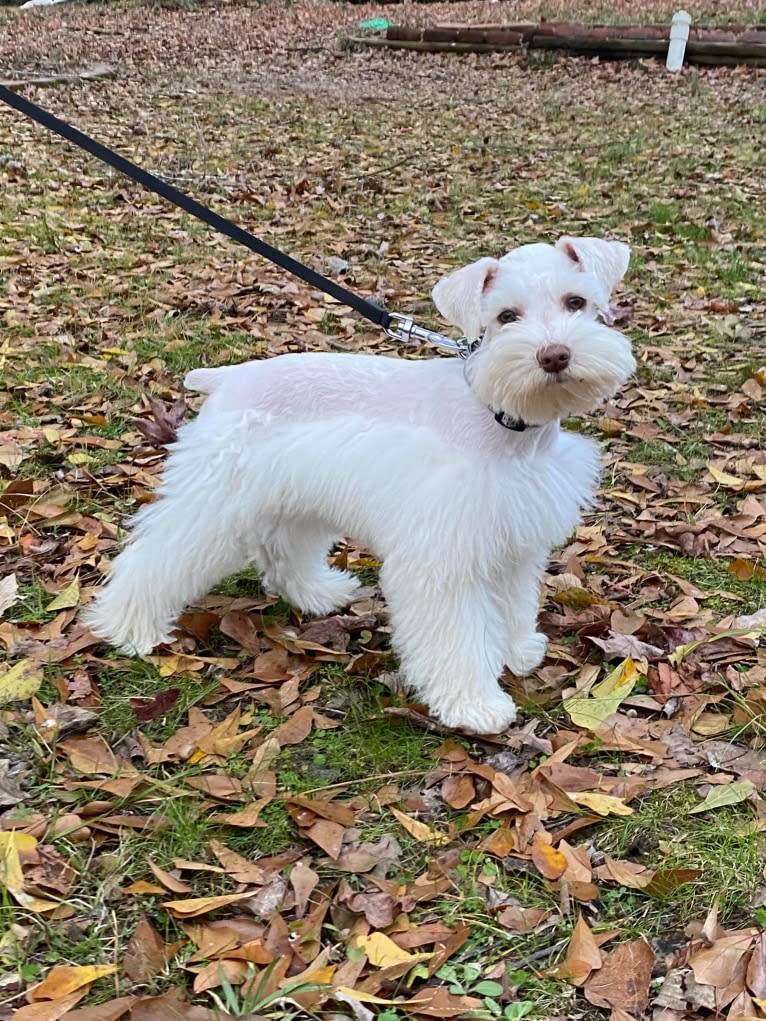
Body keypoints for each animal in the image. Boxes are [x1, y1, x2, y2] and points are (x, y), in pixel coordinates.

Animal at [82, 236, 637, 735]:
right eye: (506, 316)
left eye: (576, 302)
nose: (554, 355)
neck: (500, 419)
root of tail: (227, 378)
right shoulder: (442, 558)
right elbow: (455, 637)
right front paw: (473, 704)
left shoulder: (513, 541)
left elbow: (514, 602)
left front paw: (518, 648)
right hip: (213, 501)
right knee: (155, 559)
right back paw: (129, 628)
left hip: (293, 500)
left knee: (283, 551)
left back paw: (318, 593)